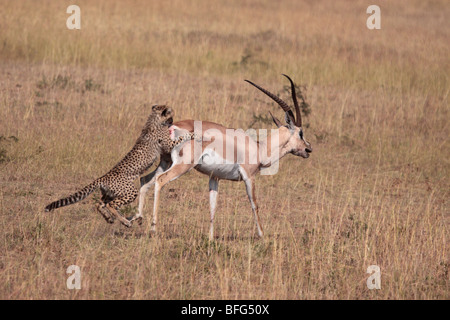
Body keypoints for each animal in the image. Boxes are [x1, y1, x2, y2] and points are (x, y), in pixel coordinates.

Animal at [44, 105, 197, 228]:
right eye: (170, 117)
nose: (172, 122)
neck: (153, 119)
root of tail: (103, 177)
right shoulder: (167, 144)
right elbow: (181, 139)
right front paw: (192, 134)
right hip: (129, 192)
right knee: (111, 205)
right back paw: (125, 222)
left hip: (110, 193)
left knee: (99, 204)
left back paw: (109, 219)